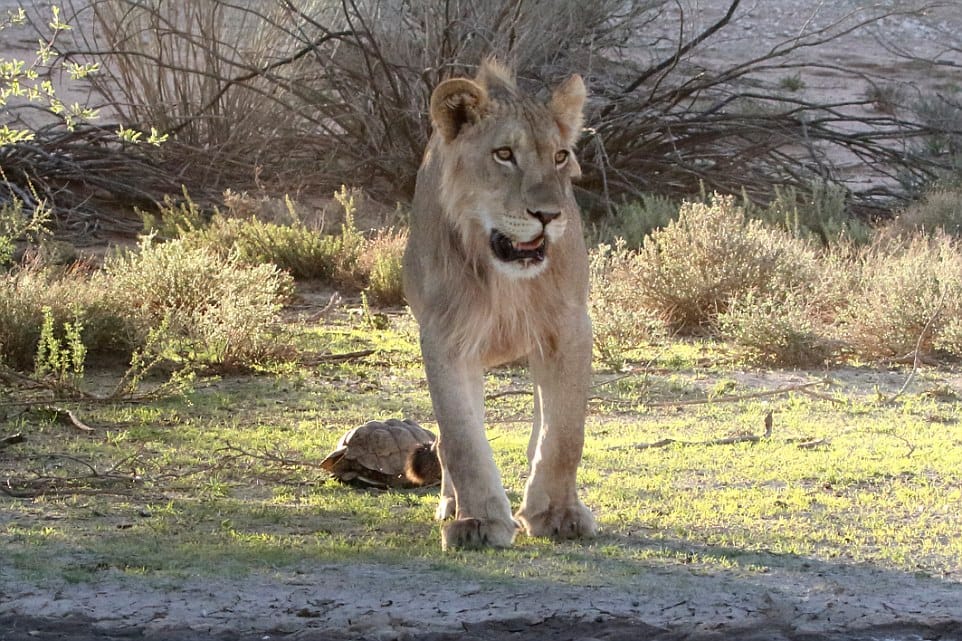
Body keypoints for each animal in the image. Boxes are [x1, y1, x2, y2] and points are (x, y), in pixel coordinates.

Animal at [403, 60, 597, 550]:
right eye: (504, 154)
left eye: (560, 156)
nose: (548, 215)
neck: (504, 275)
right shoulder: (445, 338)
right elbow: (462, 439)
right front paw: (477, 522)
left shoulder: (570, 327)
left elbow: (564, 433)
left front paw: (558, 513)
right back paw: (452, 504)